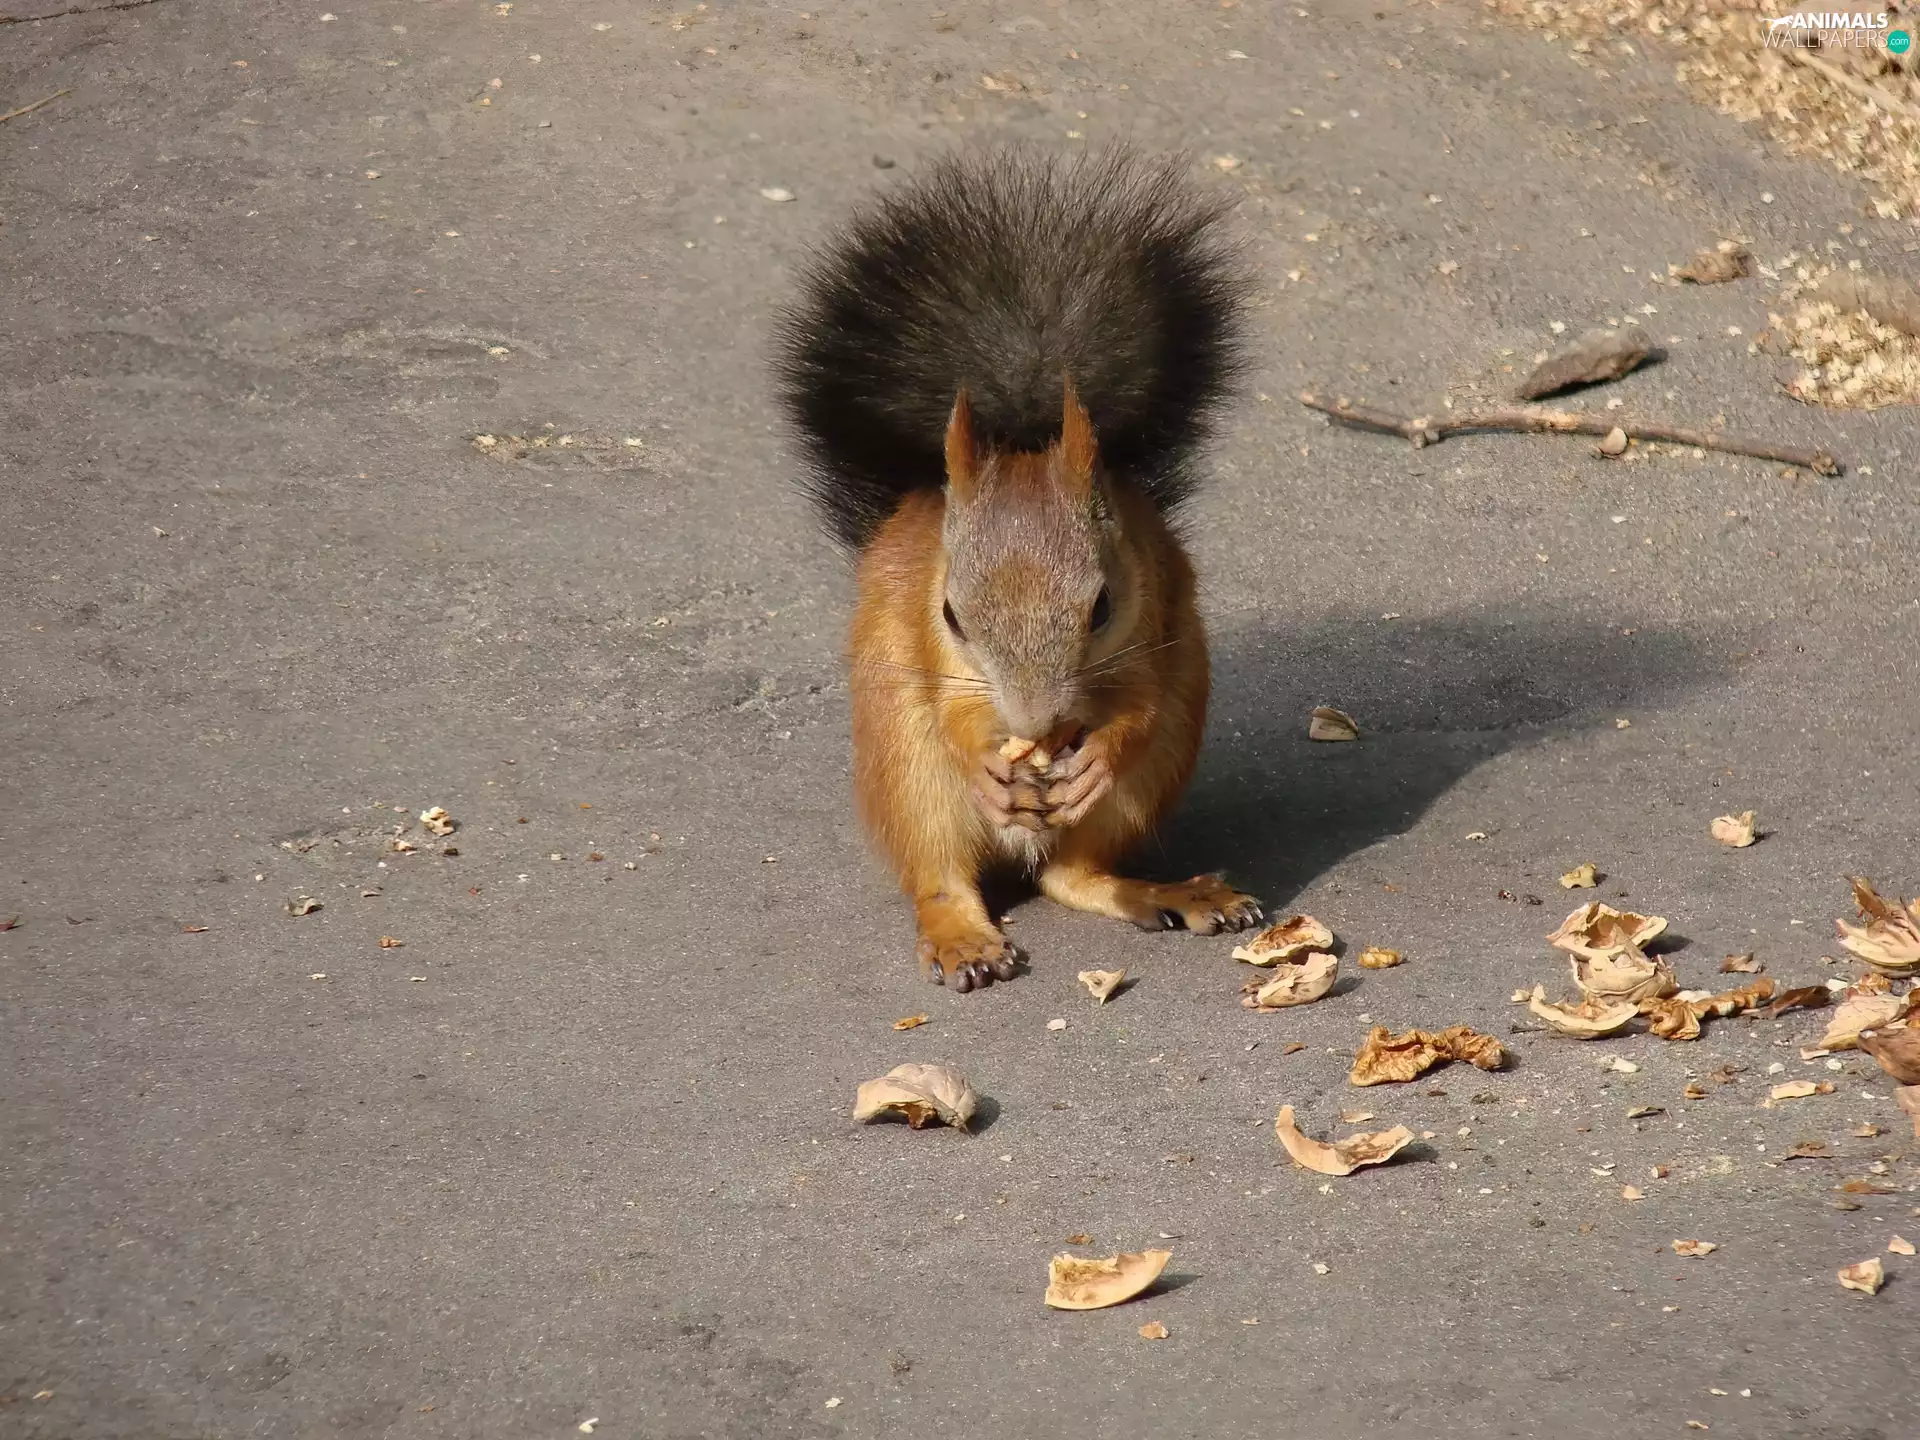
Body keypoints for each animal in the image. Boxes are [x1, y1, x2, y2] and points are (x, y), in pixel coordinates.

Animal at [773, 146, 1264, 992]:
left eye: (1103, 606)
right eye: (951, 614)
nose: (1034, 727)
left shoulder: (1155, 613)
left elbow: (1137, 704)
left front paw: (1100, 750)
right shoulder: (930, 648)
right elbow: (953, 712)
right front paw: (988, 760)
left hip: (1154, 771)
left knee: (1073, 875)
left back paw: (1166, 891)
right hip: (907, 773)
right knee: (939, 876)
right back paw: (962, 934)